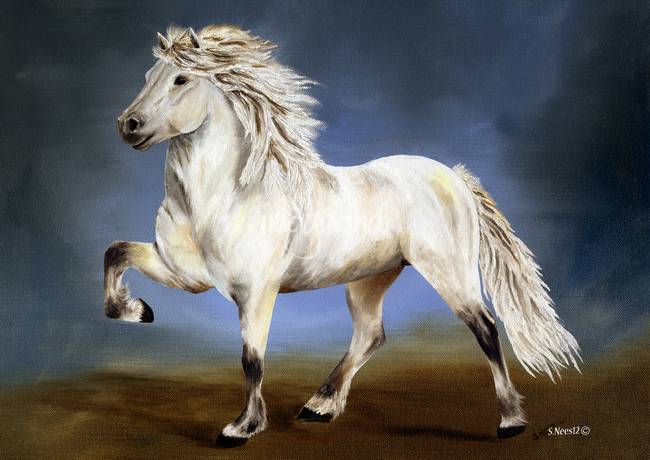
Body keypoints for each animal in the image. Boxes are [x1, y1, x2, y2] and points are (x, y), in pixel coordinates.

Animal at [105, 24, 581, 447]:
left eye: (181, 79)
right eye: (147, 77)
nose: (128, 125)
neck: (225, 196)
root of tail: (454, 177)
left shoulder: (257, 292)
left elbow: (252, 360)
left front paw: (241, 428)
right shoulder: (184, 274)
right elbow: (115, 253)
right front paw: (137, 311)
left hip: (448, 274)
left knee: (485, 328)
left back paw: (510, 420)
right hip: (369, 280)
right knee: (371, 335)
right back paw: (320, 405)